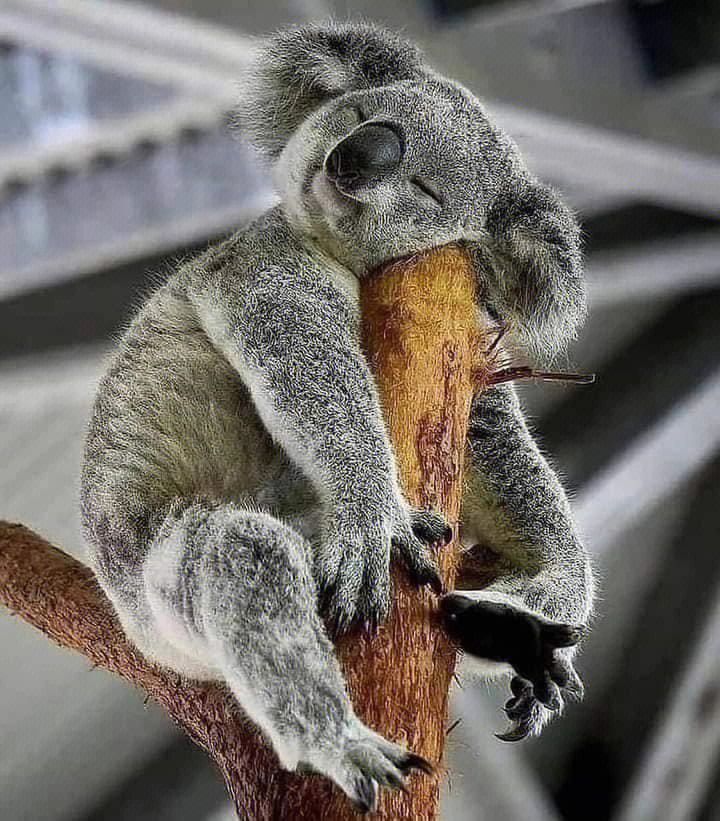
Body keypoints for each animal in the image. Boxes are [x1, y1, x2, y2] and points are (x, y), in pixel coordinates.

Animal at [80, 21, 593, 814]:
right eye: (362, 117)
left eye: (425, 188)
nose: (353, 158)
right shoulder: (265, 262)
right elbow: (306, 360)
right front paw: (378, 523)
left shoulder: (467, 351)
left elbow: (494, 445)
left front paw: (551, 591)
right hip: (156, 584)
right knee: (244, 559)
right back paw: (346, 743)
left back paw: (514, 638)